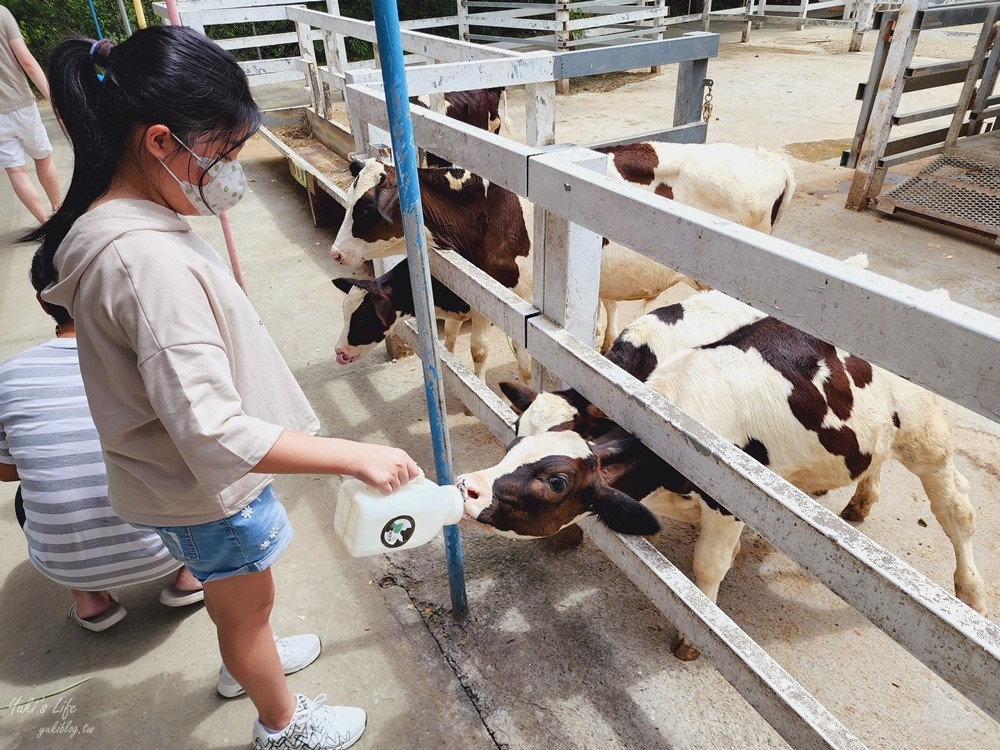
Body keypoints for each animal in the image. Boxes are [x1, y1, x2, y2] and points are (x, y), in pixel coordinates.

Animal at [460, 314, 984, 660]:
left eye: (556, 480)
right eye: (515, 437)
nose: (468, 486)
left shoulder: (730, 501)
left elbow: (708, 567)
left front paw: (695, 634)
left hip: (926, 438)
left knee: (956, 508)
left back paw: (971, 592)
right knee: (874, 463)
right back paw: (859, 502)